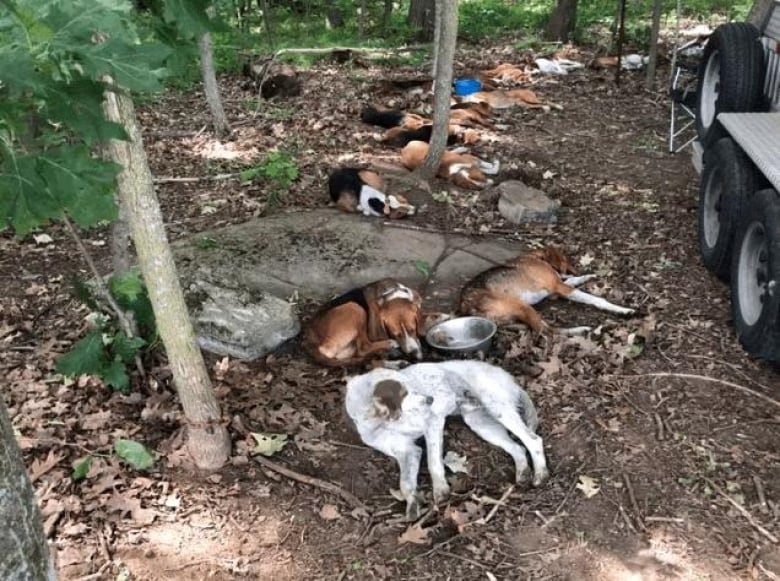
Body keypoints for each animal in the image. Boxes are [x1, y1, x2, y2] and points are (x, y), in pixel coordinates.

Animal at [344, 360, 552, 520]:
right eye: (405, 393)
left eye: (412, 387)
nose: (430, 399)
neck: (385, 422)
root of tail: (507, 375)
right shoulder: (406, 450)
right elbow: (405, 483)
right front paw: (412, 505)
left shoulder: (433, 423)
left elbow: (433, 462)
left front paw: (440, 490)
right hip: (480, 423)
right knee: (518, 448)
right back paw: (523, 473)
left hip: (497, 408)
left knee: (533, 440)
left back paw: (540, 474)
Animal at [460, 246, 636, 336]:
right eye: (567, 259)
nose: (574, 268)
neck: (536, 257)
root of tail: (465, 307)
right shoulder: (558, 287)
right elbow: (594, 299)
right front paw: (623, 310)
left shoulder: (554, 290)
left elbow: (572, 280)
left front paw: (587, 276)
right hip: (521, 305)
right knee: (547, 331)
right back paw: (579, 330)